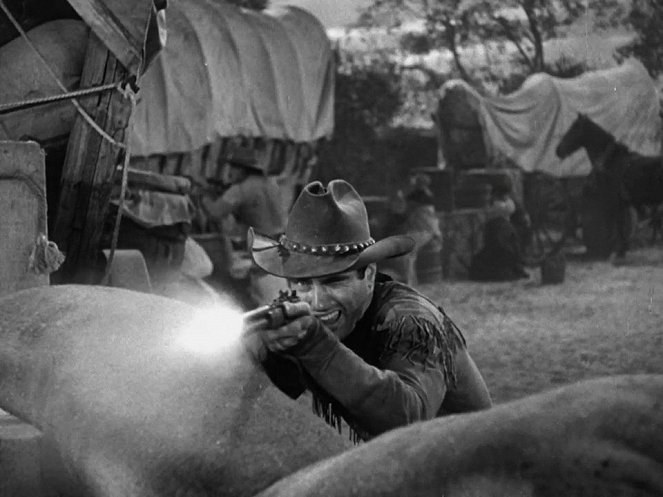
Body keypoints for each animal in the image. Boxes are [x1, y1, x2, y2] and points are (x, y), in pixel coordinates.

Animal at [556, 113, 663, 256]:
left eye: (574, 128)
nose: (558, 150)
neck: (611, 161)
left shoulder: (615, 202)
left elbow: (618, 226)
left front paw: (620, 251)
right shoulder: (621, 203)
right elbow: (619, 226)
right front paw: (622, 250)